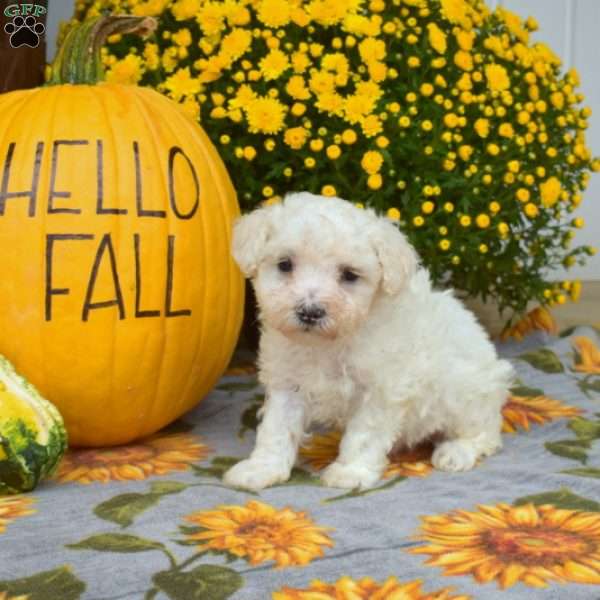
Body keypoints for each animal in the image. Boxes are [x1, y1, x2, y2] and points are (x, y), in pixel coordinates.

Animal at [223, 193, 512, 492]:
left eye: (350, 274)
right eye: (285, 265)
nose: (310, 311)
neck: (328, 343)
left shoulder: (380, 388)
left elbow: (364, 433)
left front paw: (350, 472)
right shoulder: (287, 381)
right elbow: (277, 428)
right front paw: (261, 469)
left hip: (464, 393)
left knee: (486, 433)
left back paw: (456, 452)